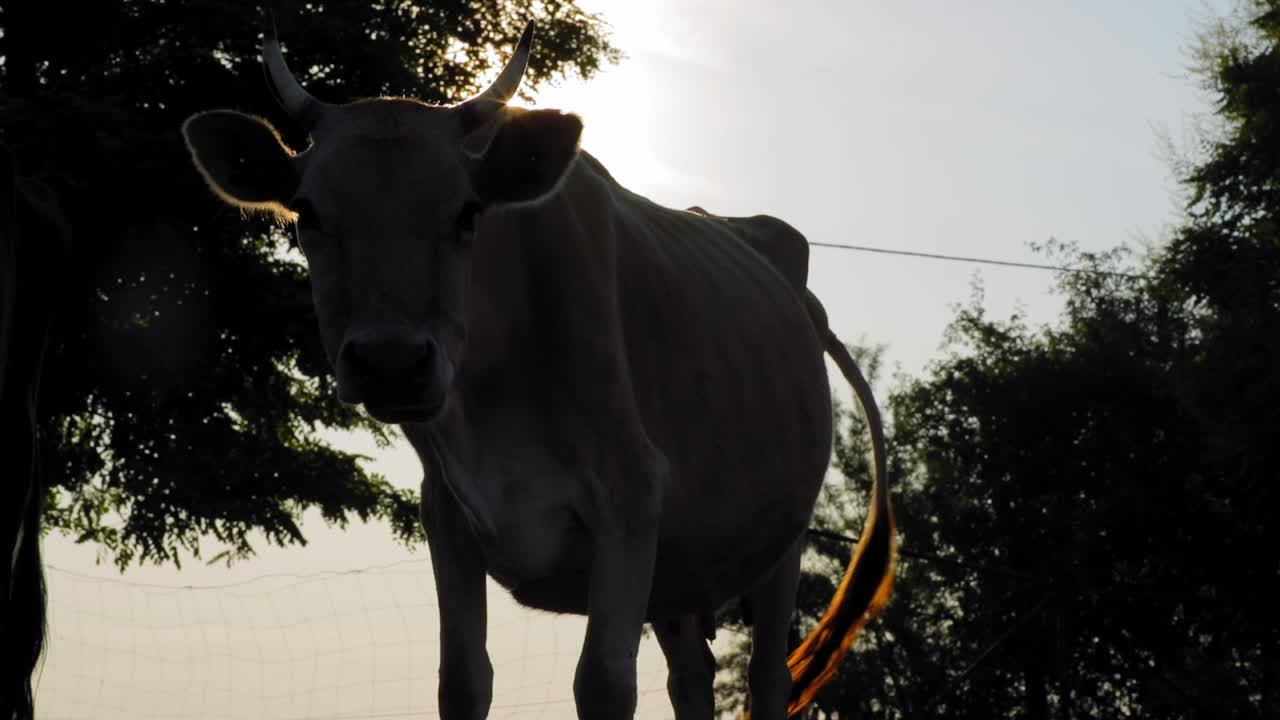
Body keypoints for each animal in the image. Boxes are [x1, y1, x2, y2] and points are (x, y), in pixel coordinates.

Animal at [182, 20, 896, 720]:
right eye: (307, 213)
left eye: (468, 212)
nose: (392, 362)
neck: (495, 392)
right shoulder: (449, 514)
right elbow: (462, 683)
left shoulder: (630, 496)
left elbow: (603, 683)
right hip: (681, 573)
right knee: (691, 680)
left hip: (781, 543)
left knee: (768, 679)